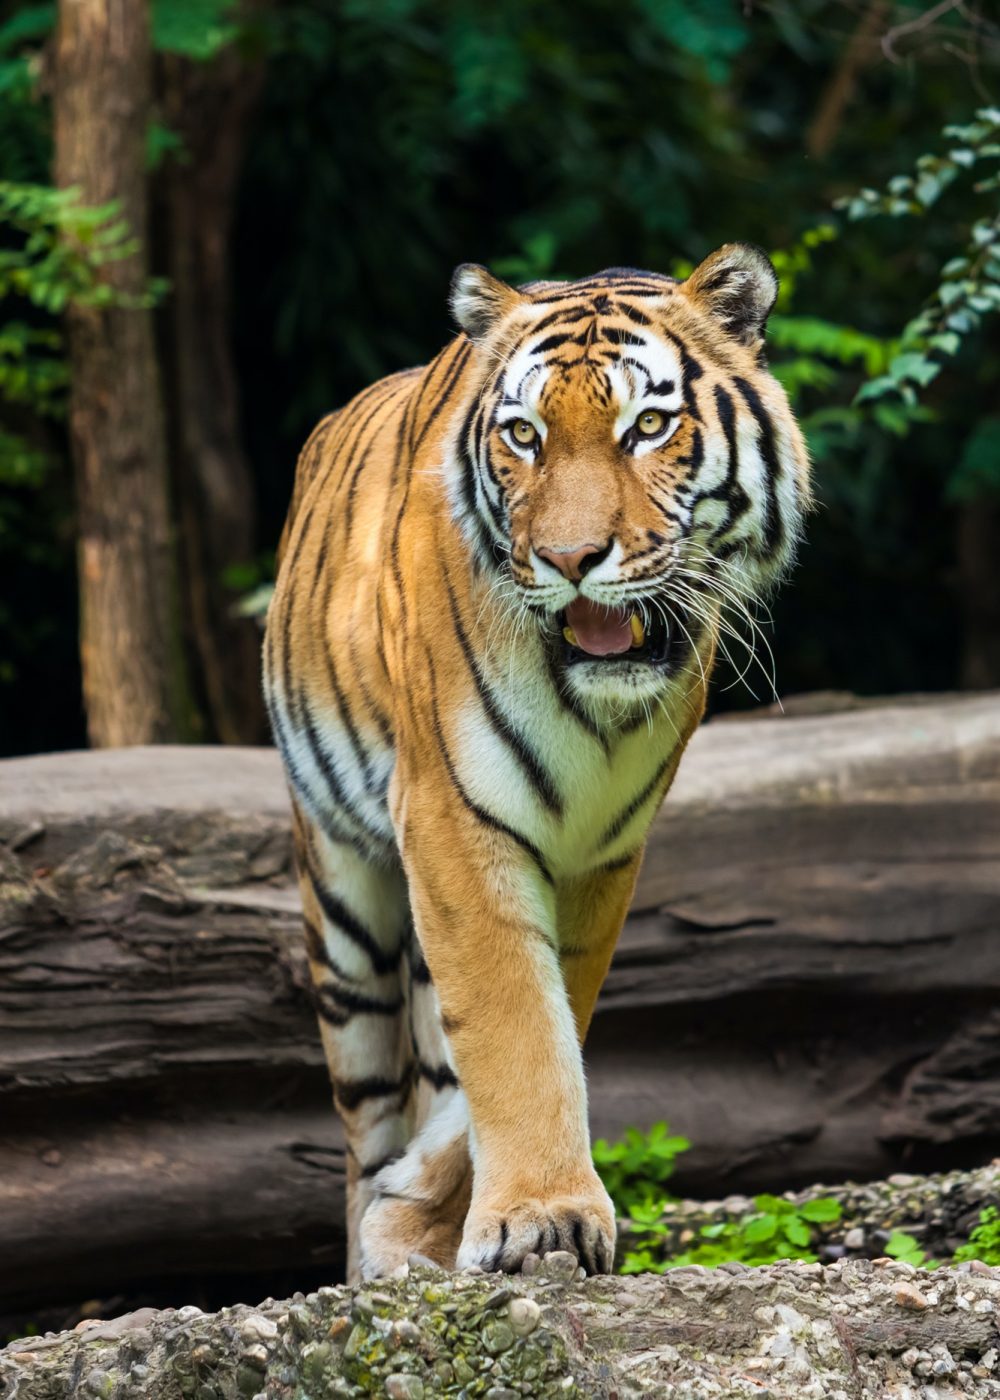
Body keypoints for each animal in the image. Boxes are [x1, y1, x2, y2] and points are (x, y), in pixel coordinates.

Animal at [263, 243, 811, 1282]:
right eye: (523, 435)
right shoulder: (449, 814)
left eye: (648, 426)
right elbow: (515, 1022)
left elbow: (541, 1023)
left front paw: (444, 1217)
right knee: (364, 1121)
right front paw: (536, 1220)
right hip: (345, 911)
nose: (569, 558)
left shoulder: (602, 850)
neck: (597, 710)